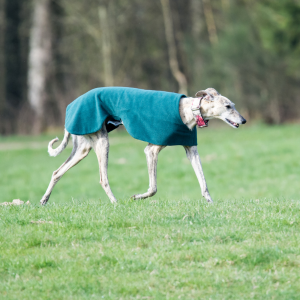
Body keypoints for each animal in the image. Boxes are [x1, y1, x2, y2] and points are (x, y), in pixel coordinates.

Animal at [39, 86, 246, 204]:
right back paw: (116, 203)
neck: (189, 109)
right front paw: (137, 197)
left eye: (234, 105)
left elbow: (203, 181)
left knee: (57, 172)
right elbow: (153, 188)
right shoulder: (151, 150)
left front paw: (210, 202)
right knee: (103, 179)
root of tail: (72, 105)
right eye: (228, 106)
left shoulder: (191, 150)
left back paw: (44, 200)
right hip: (102, 142)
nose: (244, 120)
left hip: (83, 148)